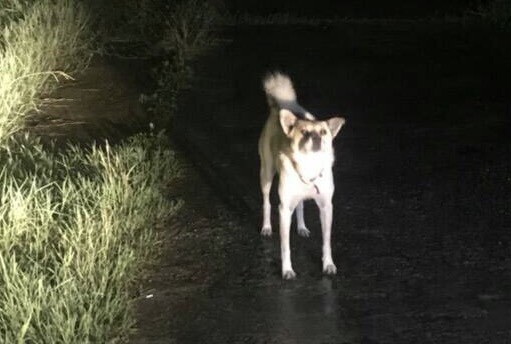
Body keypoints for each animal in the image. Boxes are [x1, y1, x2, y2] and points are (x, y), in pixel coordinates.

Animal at [258, 72, 346, 280]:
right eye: (304, 132)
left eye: (323, 132)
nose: (316, 138)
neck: (309, 166)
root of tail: (279, 107)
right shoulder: (284, 210)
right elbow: (285, 246)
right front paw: (287, 269)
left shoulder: (326, 207)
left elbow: (326, 241)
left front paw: (328, 264)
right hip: (266, 174)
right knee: (266, 201)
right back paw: (266, 227)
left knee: (300, 205)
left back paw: (301, 227)